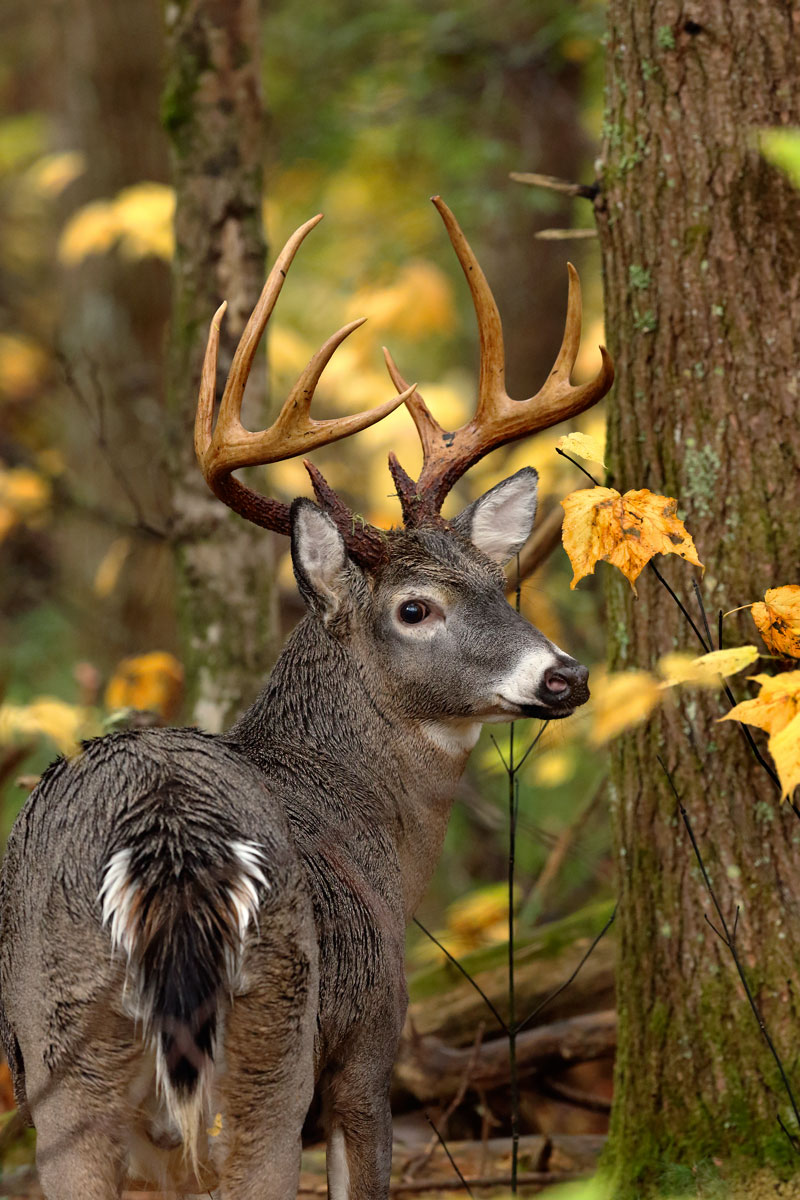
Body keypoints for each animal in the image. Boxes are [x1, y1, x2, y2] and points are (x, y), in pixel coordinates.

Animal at [0, 197, 613, 1200]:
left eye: (501, 583)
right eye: (415, 607)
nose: (565, 677)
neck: (370, 832)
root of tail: (170, 840)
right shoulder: (368, 1053)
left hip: (61, 1050)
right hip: (276, 1036)